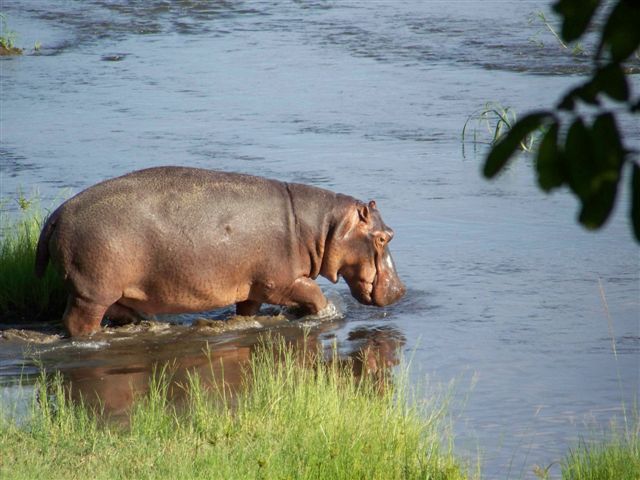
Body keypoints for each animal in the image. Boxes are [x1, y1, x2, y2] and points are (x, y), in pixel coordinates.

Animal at [35, 167, 405, 336]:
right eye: (384, 237)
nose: (401, 290)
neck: (323, 226)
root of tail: (57, 213)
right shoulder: (282, 282)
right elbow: (315, 294)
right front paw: (322, 313)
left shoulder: (254, 287)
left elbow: (247, 309)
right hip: (91, 292)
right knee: (78, 322)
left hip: (110, 290)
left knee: (120, 310)